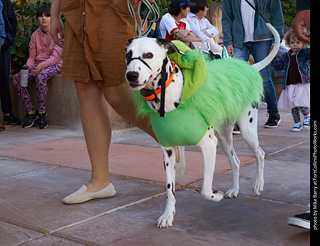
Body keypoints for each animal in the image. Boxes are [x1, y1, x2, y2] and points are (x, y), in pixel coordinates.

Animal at [124, 23, 278, 229]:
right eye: (128, 55)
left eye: (148, 55)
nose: (131, 75)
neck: (170, 98)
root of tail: (247, 69)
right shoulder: (168, 152)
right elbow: (170, 189)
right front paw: (167, 215)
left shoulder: (209, 146)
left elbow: (205, 189)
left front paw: (215, 196)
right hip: (225, 138)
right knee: (236, 161)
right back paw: (234, 189)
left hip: (247, 131)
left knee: (260, 154)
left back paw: (258, 184)